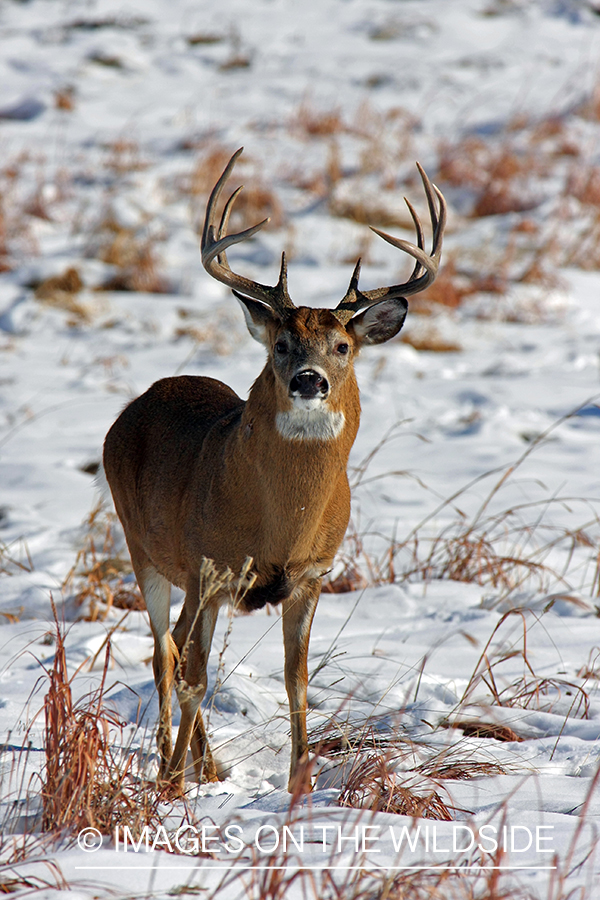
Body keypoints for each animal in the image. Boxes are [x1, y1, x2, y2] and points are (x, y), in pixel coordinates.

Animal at [102, 149, 446, 796]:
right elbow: (193, 677)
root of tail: (139, 402)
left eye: (343, 346)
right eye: (282, 344)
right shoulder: (208, 566)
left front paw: (300, 786)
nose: (309, 380)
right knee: (164, 654)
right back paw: (174, 764)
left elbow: (298, 681)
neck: (278, 525)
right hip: (144, 547)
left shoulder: (312, 575)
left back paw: (208, 764)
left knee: (176, 650)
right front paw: (174, 787)